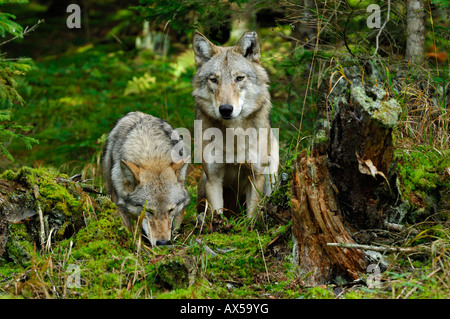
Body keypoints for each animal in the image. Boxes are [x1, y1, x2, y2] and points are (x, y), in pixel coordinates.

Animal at [102, 112, 190, 248]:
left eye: (171, 210)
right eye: (148, 210)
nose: (163, 243)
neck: (153, 156)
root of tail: (138, 113)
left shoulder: (181, 207)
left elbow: (175, 226)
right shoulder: (119, 206)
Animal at [192, 31, 278, 219]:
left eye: (239, 78)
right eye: (214, 80)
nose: (225, 109)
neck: (234, 135)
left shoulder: (256, 176)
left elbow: (252, 217)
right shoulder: (213, 179)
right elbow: (217, 214)